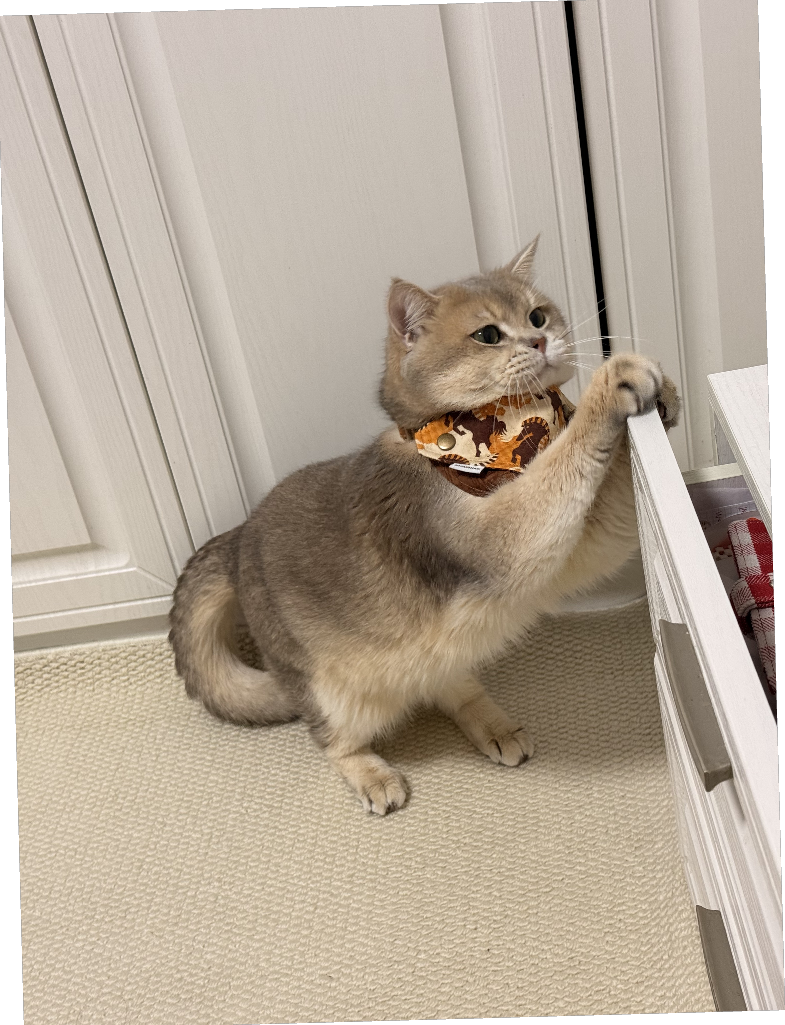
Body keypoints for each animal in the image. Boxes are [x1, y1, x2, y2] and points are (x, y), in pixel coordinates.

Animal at [169, 236, 680, 815]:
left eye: (537, 314)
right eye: (488, 335)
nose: (541, 339)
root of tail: (237, 539)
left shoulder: (582, 543)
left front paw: (667, 396)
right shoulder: (498, 542)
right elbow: (565, 461)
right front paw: (614, 381)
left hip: (440, 649)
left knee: (447, 685)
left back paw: (495, 726)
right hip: (331, 690)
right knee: (332, 740)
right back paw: (374, 776)